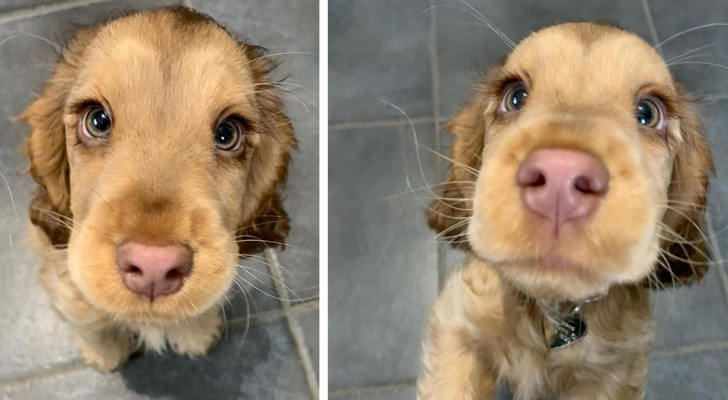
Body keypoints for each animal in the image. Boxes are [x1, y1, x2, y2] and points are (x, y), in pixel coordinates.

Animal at [22, 6, 296, 370]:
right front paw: (105, 354)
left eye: (228, 133)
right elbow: (85, 314)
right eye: (97, 120)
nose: (154, 266)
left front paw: (196, 334)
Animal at [418, 22, 712, 400]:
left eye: (649, 113)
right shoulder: (458, 319)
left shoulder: (615, 371)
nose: (560, 175)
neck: (550, 309)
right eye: (515, 96)